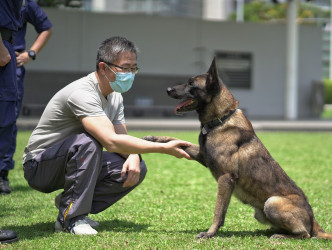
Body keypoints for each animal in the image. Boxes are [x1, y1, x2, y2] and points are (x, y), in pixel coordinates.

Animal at [143, 57, 332, 239]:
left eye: (191, 83)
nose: (168, 89)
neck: (221, 119)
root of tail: (313, 219)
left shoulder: (226, 178)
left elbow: (218, 210)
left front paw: (209, 233)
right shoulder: (204, 157)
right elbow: (178, 140)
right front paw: (154, 139)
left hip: (272, 202)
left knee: (305, 234)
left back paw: (281, 236)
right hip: (262, 211)